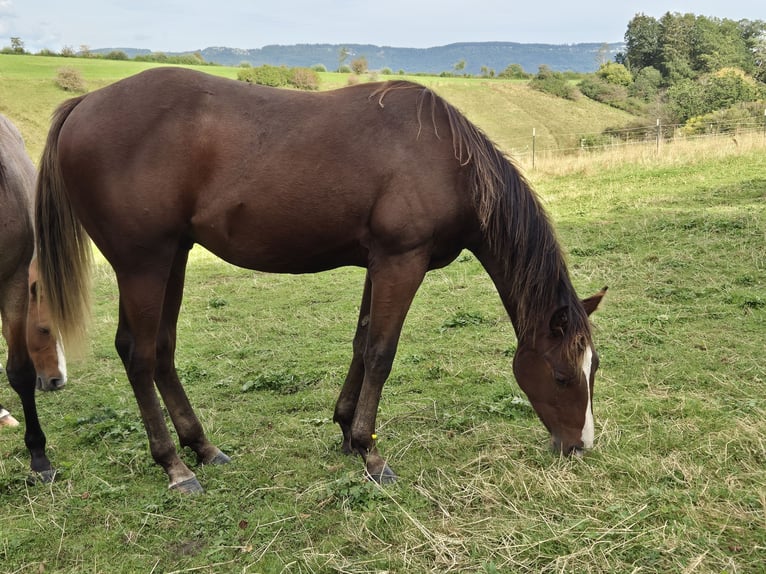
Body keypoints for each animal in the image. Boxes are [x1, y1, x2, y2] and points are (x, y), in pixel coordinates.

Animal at [34, 68, 608, 496]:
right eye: (562, 376)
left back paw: (204, 447)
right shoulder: (401, 261)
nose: (580, 445)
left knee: (160, 351)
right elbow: (381, 352)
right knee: (139, 356)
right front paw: (372, 454)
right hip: (143, 264)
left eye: (593, 367)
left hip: (170, 257)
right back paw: (175, 466)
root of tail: (82, 104)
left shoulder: (379, 262)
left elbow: (361, 343)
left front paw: (348, 432)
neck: (445, 159)